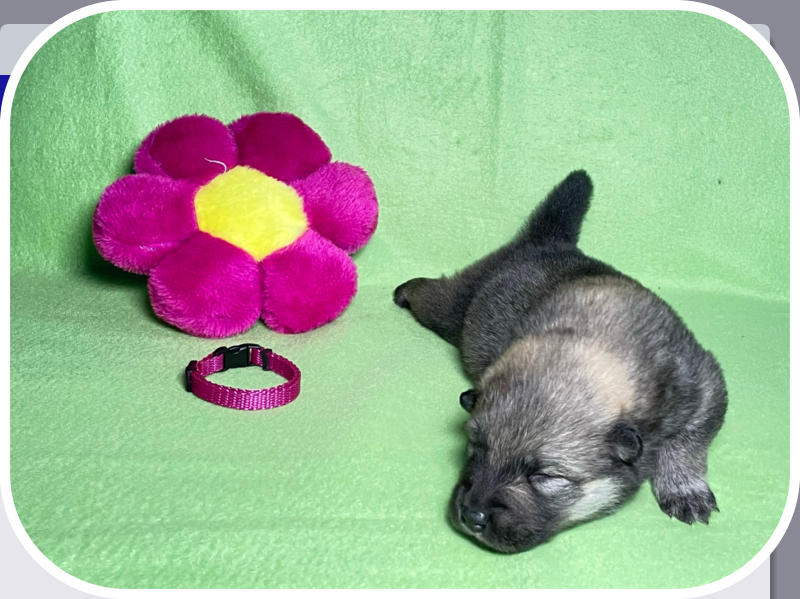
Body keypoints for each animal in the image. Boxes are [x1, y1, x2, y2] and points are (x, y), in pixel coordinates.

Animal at [393, 171, 727, 553]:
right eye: (476, 448)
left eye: (544, 476)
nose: (471, 516)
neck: (597, 337)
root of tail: (546, 242)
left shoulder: (702, 382)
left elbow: (691, 436)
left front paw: (684, 486)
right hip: (458, 308)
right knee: (438, 295)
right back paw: (407, 290)